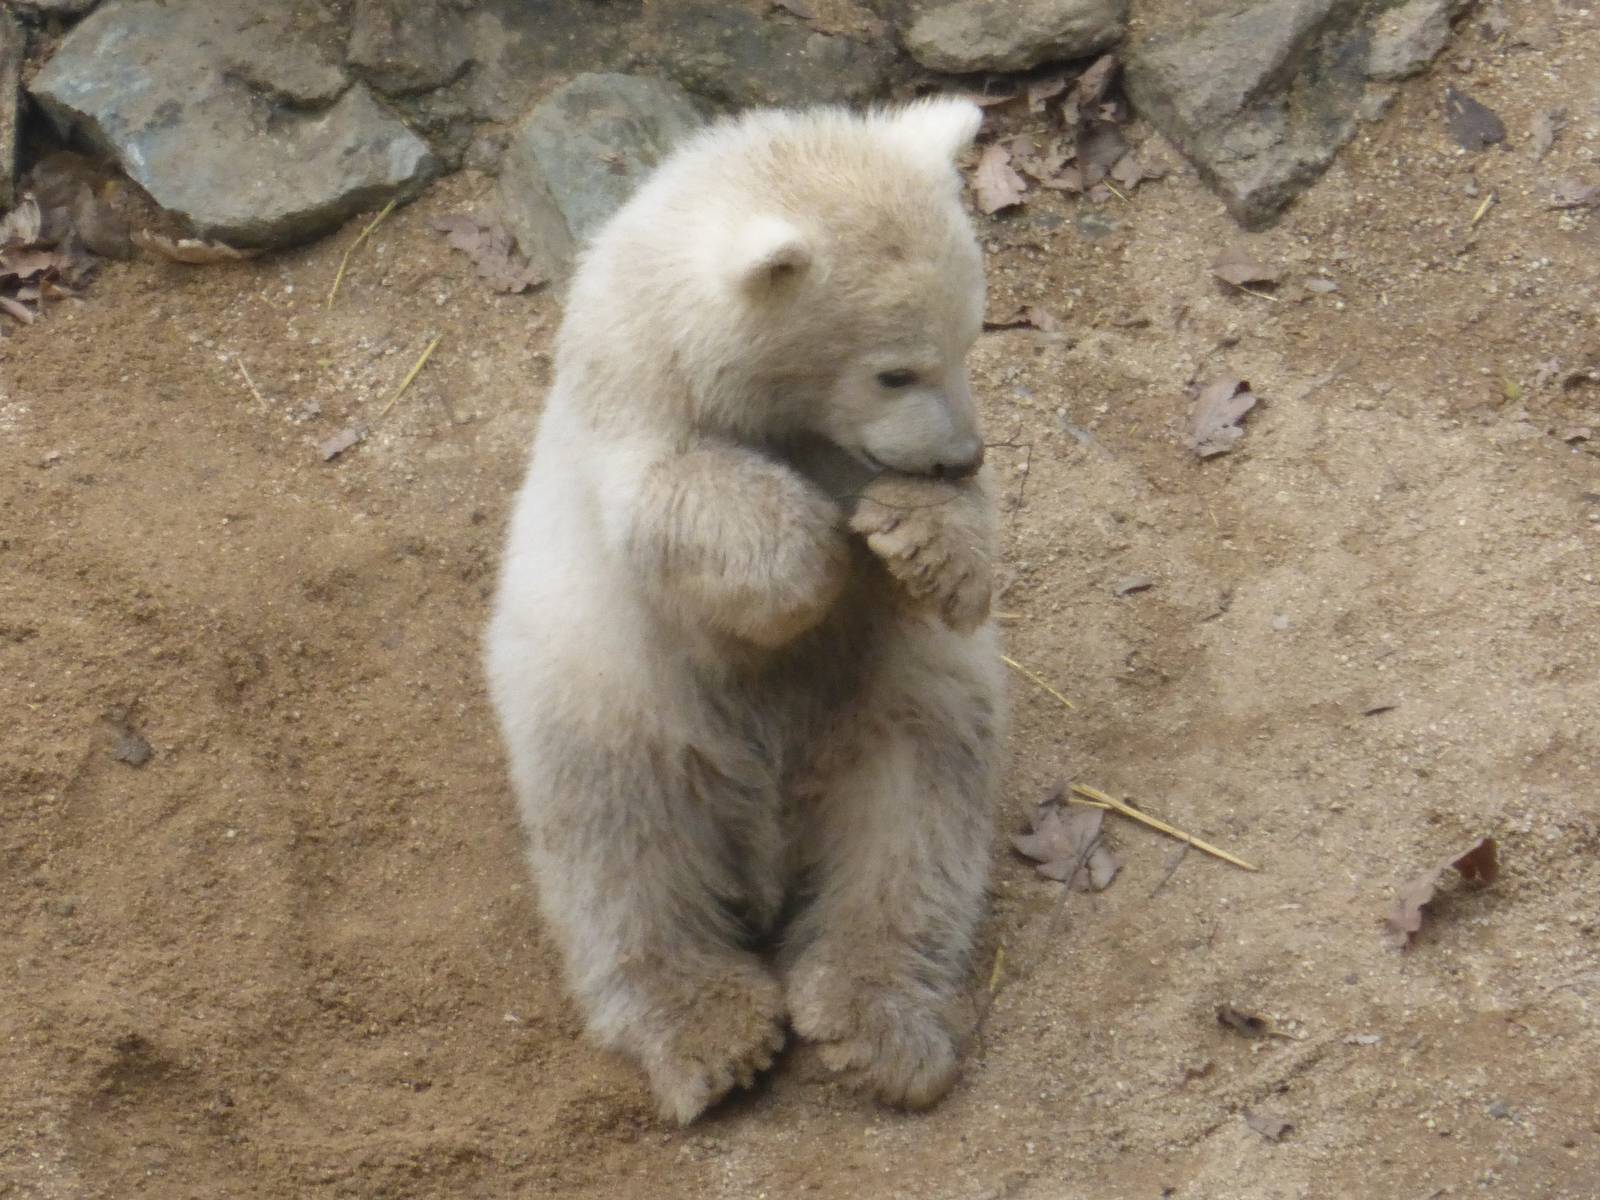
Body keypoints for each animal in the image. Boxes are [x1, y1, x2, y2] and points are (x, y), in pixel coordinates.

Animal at [484, 98, 1005, 1124]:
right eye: (895, 371)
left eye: (972, 336)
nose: (960, 455)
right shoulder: (630, 417)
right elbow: (683, 506)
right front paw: (814, 554)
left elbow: (937, 568)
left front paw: (926, 540)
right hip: (612, 703)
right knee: (621, 849)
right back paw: (711, 1031)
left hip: (891, 705)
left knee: (917, 820)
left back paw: (874, 1022)